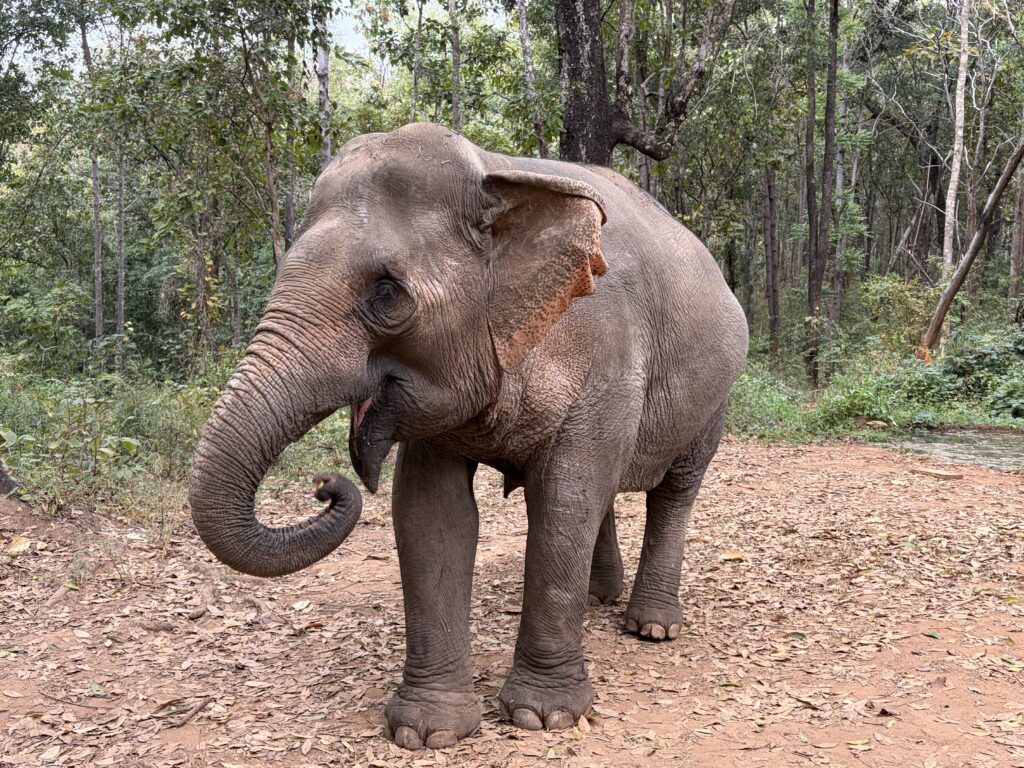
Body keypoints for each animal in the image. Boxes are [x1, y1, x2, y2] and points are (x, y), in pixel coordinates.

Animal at [189, 123, 748, 750]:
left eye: (386, 292)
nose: (325, 485)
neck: (494, 178)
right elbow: (433, 513)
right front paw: (427, 732)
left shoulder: (608, 354)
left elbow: (564, 501)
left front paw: (545, 717)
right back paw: (598, 597)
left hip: (716, 393)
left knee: (674, 490)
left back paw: (650, 627)